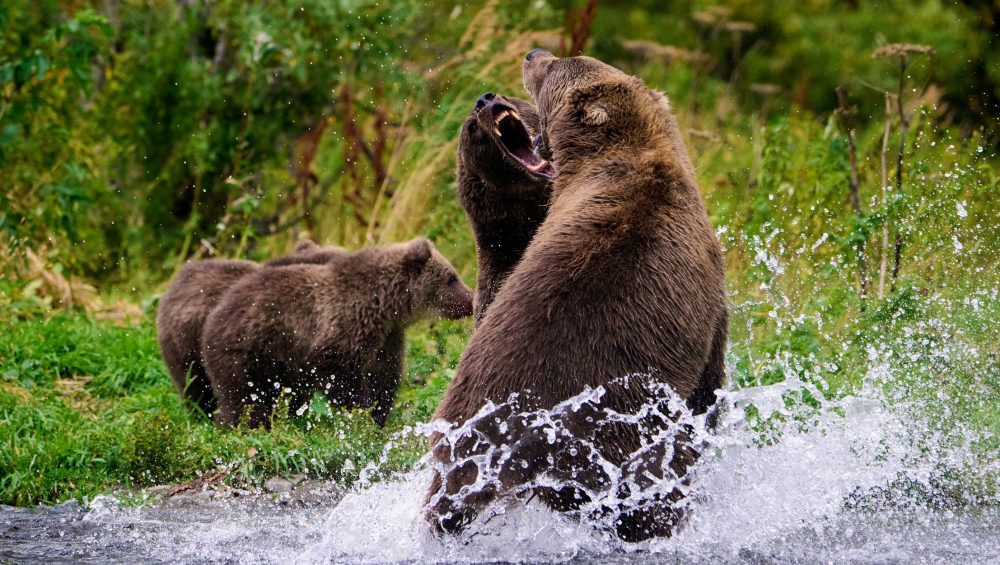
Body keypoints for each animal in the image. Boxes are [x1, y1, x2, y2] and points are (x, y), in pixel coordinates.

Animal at [201, 238, 474, 428]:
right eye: (452, 277)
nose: (471, 299)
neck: (385, 306)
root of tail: (214, 316)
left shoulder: (386, 338)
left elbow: (384, 377)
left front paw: (377, 416)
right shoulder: (343, 330)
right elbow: (340, 375)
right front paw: (359, 413)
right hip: (251, 351)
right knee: (248, 398)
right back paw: (244, 426)